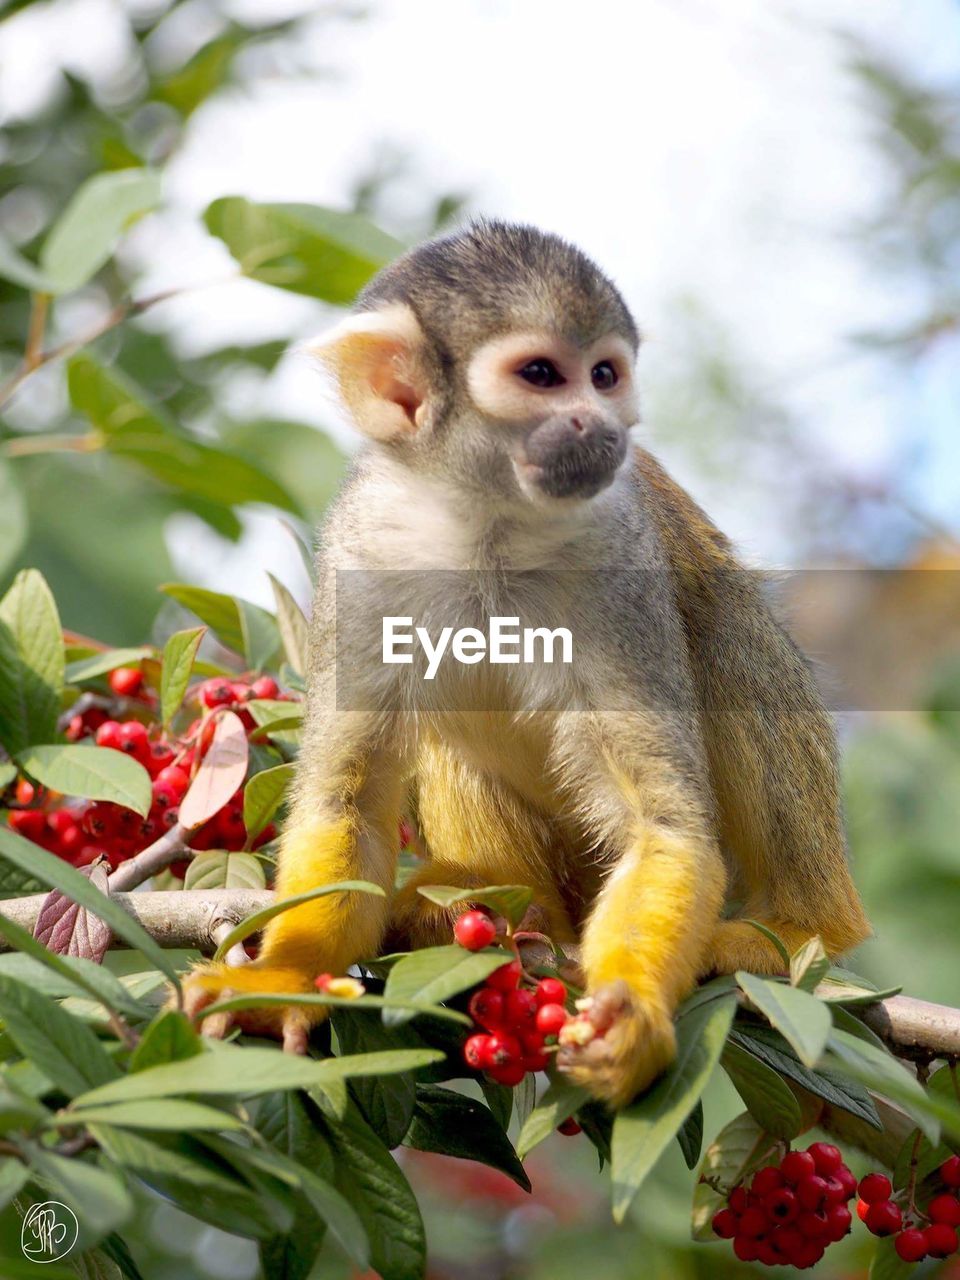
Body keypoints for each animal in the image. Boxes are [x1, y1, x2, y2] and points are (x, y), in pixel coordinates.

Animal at [181, 217, 870, 1100]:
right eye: (542, 376)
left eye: (605, 376)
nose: (597, 422)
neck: (487, 524)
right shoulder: (361, 549)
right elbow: (350, 797)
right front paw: (283, 980)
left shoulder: (619, 558)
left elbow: (663, 820)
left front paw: (631, 1019)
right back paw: (502, 903)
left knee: (725, 634)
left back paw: (802, 923)